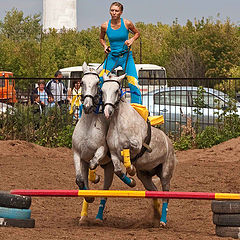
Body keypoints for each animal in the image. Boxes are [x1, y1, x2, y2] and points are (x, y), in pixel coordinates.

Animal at [71, 62, 135, 223]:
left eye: (96, 83)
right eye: (82, 82)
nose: (87, 106)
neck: (88, 126)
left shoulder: (101, 150)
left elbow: (94, 163)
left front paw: (95, 178)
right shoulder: (77, 155)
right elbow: (80, 180)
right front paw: (89, 195)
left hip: (109, 168)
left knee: (107, 190)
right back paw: (84, 217)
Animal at [98, 73, 178, 227]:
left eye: (116, 90)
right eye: (102, 90)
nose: (107, 112)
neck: (118, 122)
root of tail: (170, 143)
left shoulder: (137, 145)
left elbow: (128, 151)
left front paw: (131, 170)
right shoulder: (114, 153)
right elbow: (118, 170)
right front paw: (131, 181)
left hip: (166, 173)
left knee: (166, 195)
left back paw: (163, 220)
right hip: (145, 176)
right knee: (154, 191)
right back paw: (156, 215)